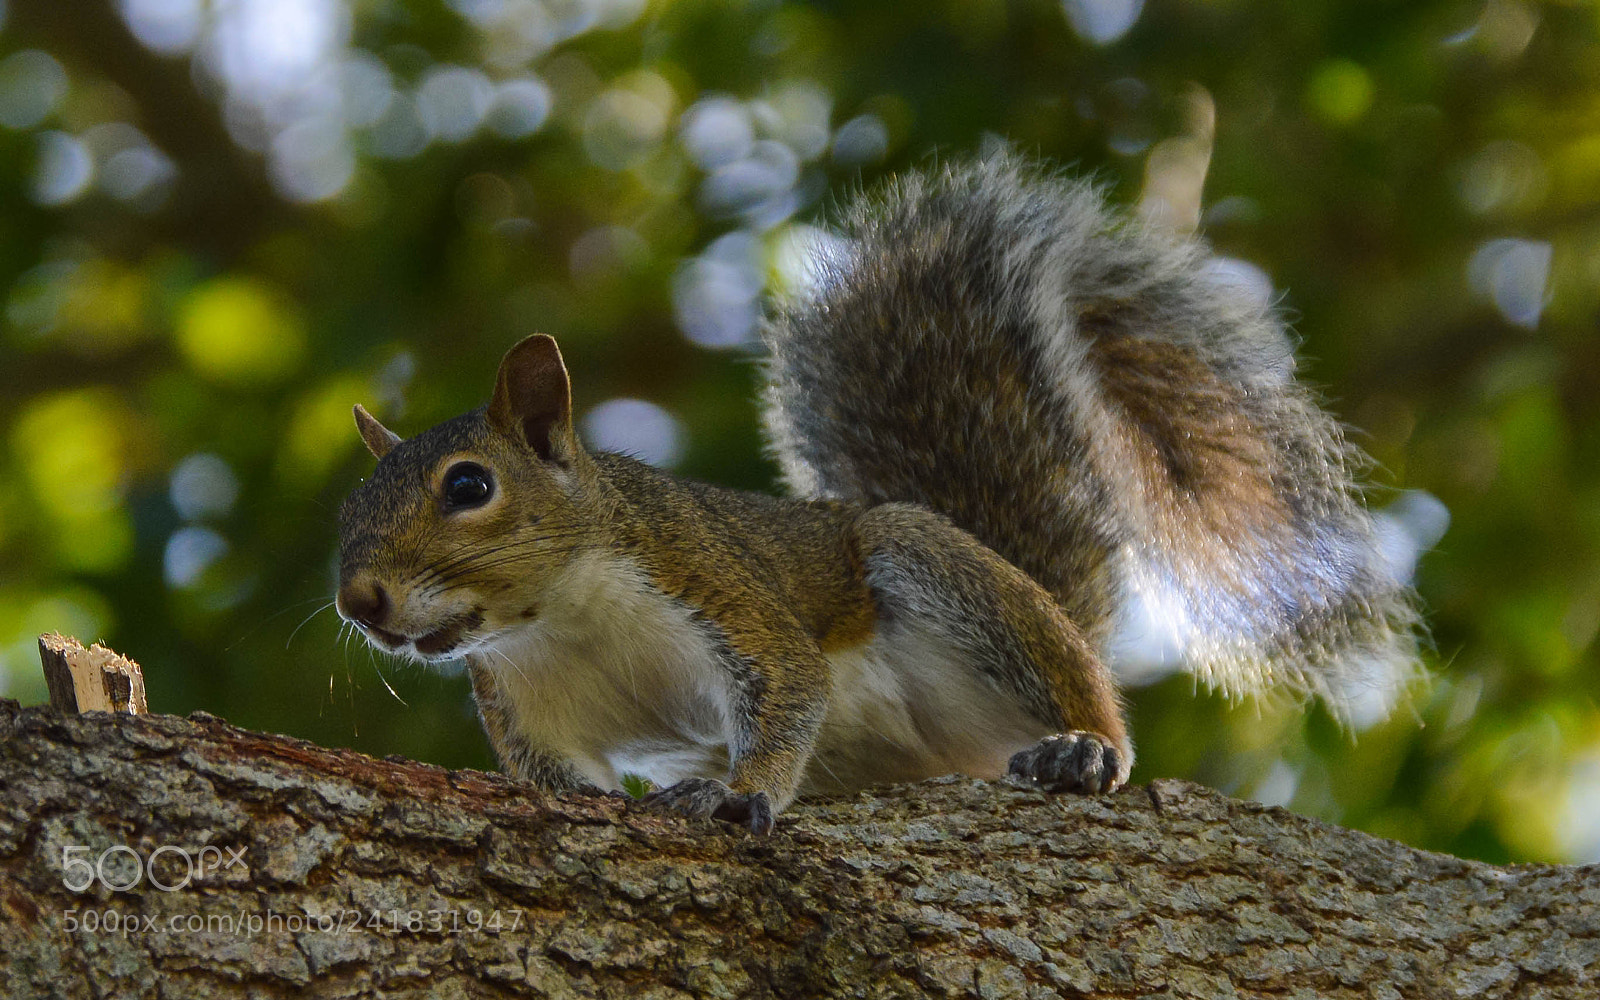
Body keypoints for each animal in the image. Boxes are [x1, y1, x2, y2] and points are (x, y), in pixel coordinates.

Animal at [336, 154, 1422, 834]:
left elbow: (786, 689)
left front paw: (737, 796)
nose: (360, 601)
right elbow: (567, 782)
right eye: (346, 513)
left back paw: (1081, 751)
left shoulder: (712, 583)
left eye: (469, 485)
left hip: (938, 567)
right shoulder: (528, 714)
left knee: (1090, 706)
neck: (553, 617)